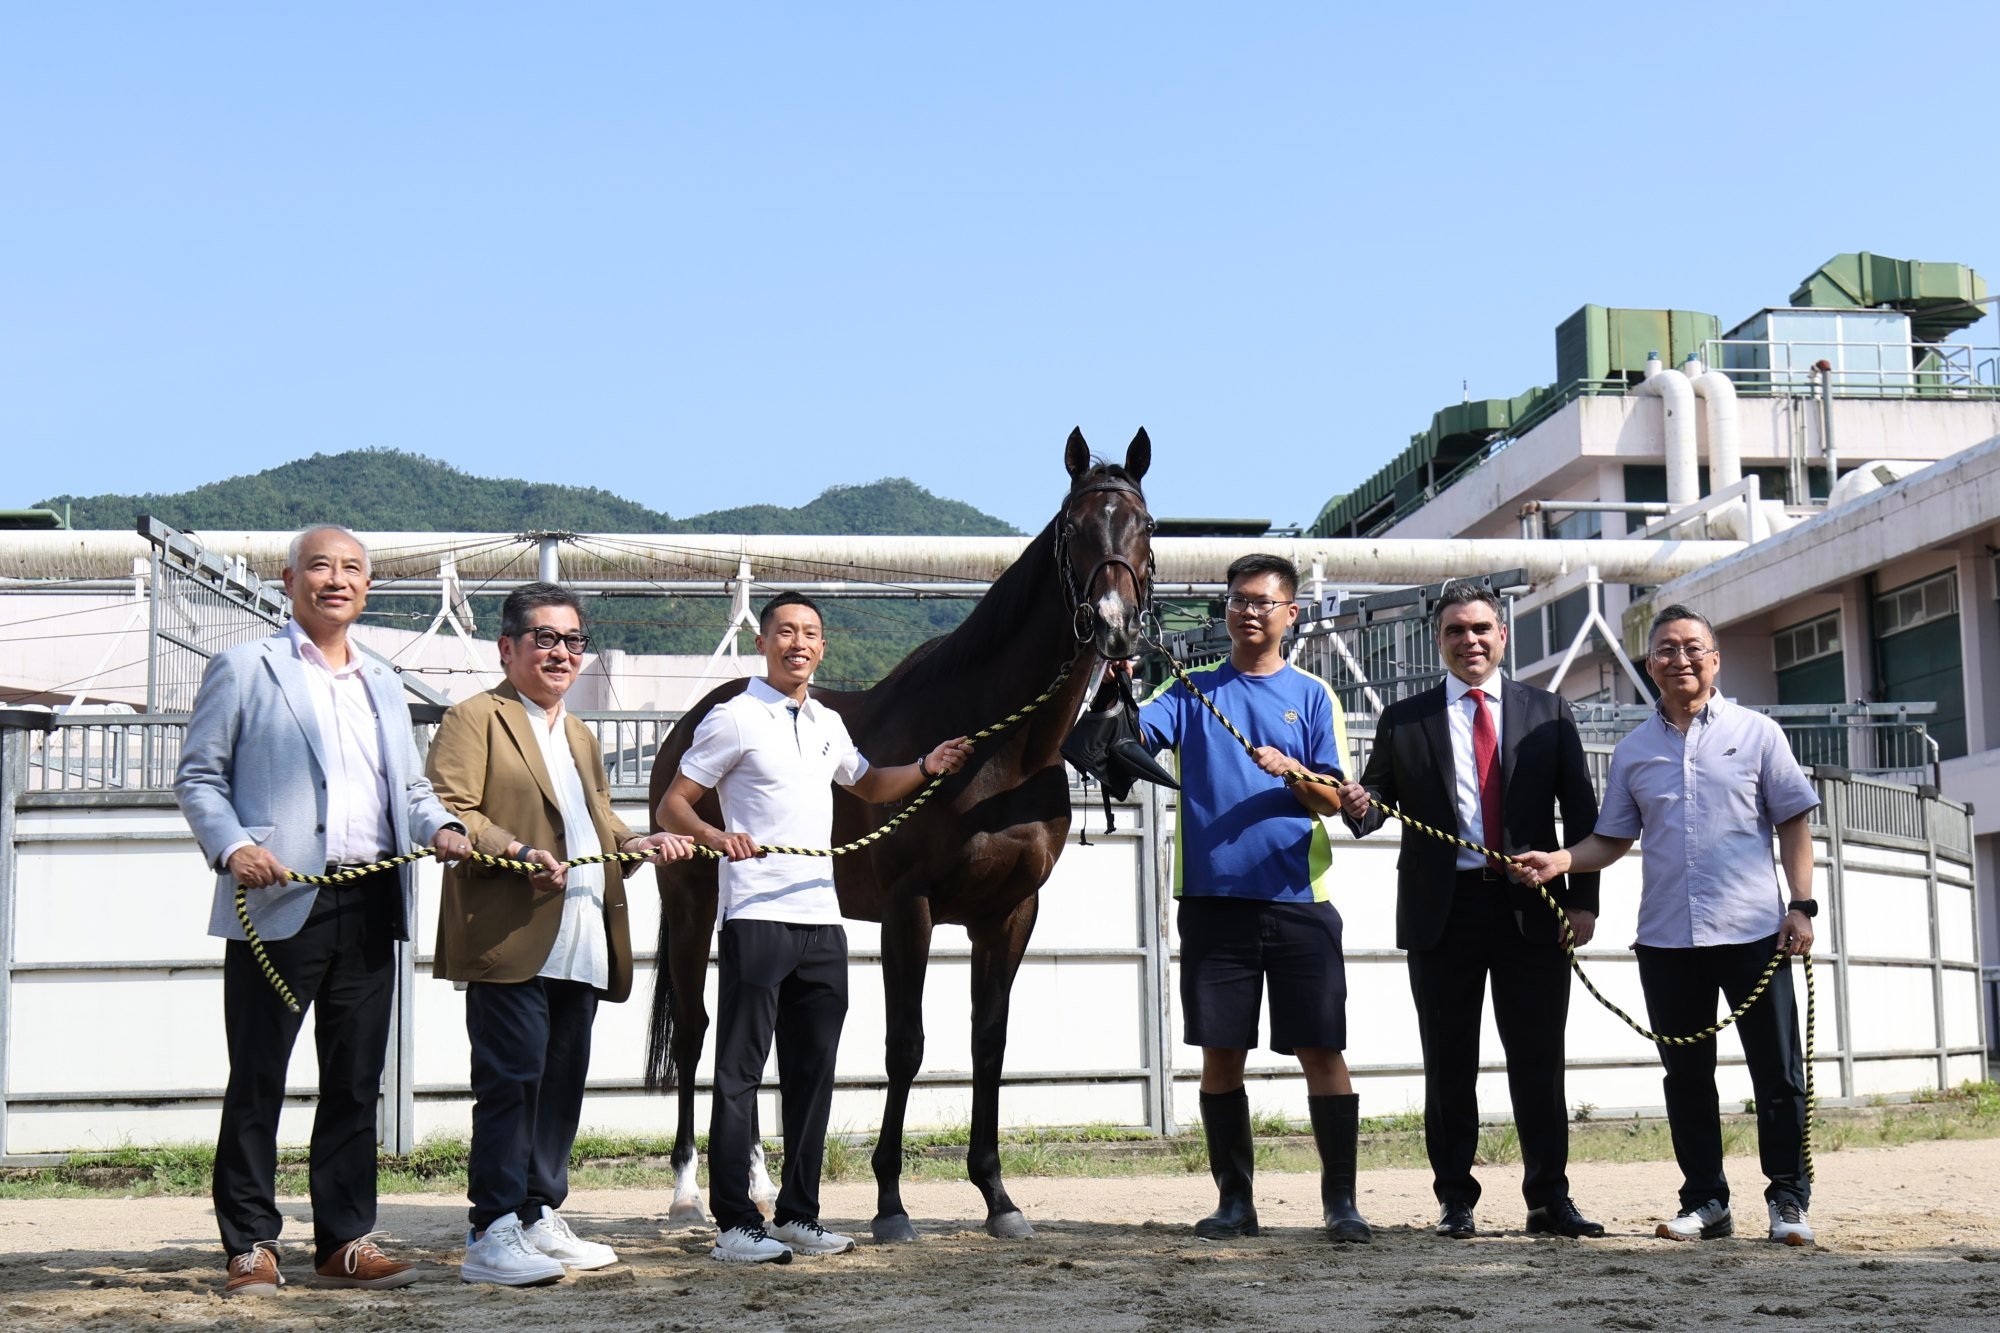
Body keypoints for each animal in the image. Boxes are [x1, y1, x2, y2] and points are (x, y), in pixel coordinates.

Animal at [648, 430, 1160, 1240]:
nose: (1114, 624)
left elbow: (990, 1042)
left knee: (741, 1029)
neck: (996, 748)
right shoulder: (907, 910)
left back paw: (758, 1181)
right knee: (697, 1028)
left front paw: (998, 1197)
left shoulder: (1010, 913)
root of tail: (691, 722)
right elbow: (906, 1045)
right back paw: (686, 1194)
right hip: (691, 899)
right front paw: (891, 1203)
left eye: (1145, 526)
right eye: (1073, 529)